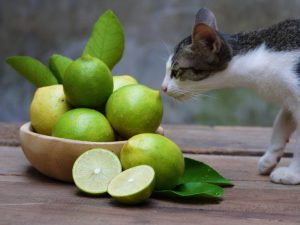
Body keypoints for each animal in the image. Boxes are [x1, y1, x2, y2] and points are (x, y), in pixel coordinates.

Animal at [162, 7, 300, 185]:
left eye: (176, 72)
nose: (163, 87)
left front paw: (292, 174)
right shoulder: (288, 97)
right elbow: (280, 124)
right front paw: (269, 159)